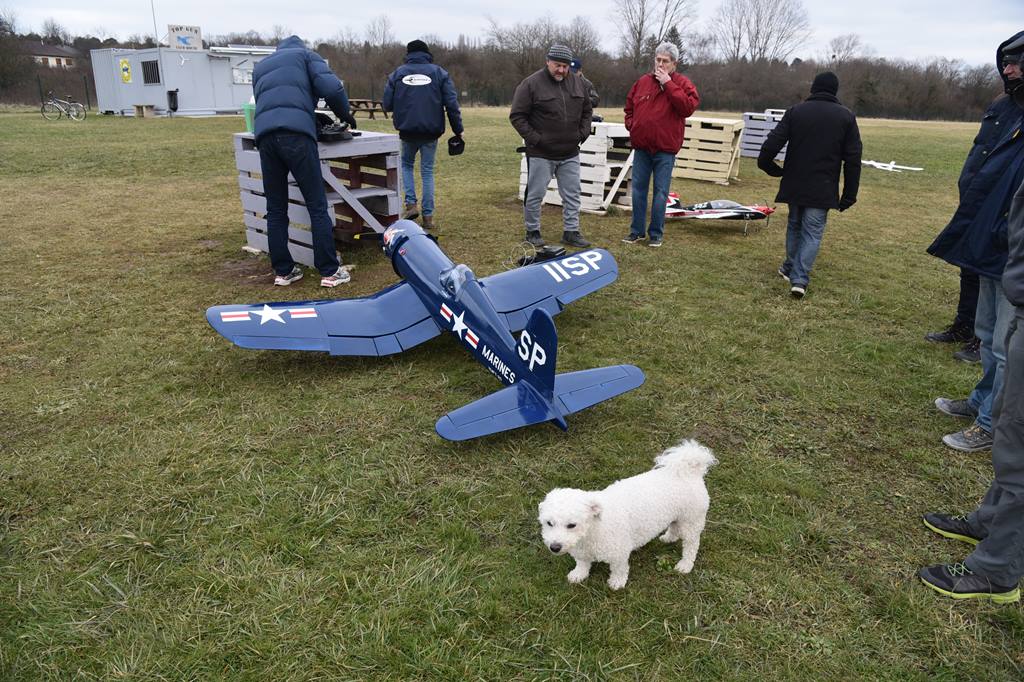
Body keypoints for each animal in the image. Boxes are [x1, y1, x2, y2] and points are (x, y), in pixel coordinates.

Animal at [540, 438, 716, 585]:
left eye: (572, 525)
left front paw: (617, 583)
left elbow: (619, 569)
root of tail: (690, 469)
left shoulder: (619, 552)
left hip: (692, 520)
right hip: (677, 516)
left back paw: (685, 564)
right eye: (549, 523)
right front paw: (578, 574)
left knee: (691, 545)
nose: (554, 547)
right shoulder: (582, 552)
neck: (593, 530)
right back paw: (668, 538)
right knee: (674, 526)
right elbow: (582, 564)